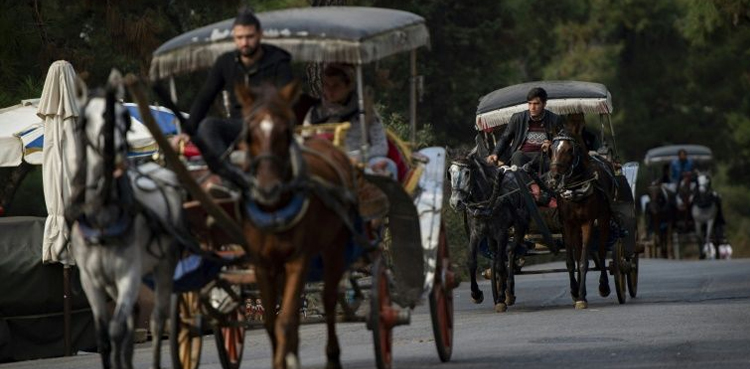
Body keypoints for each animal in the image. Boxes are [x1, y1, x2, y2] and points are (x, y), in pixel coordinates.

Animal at [68, 72, 185, 368]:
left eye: (126, 118)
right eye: (86, 119)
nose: (117, 148)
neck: (101, 217)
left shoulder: (128, 275)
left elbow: (116, 329)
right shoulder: (91, 281)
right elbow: (104, 337)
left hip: (165, 266)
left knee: (159, 319)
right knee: (135, 317)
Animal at [238, 83, 362, 368]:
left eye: (285, 131)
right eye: (248, 134)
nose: (268, 188)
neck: (274, 211)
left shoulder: (298, 259)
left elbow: (284, 322)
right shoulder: (262, 264)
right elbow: (271, 322)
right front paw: (284, 358)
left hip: (335, 246)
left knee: (329, 299)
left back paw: (332, 355)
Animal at [450, 151, 532, 312]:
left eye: (467, 172)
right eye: (450, 172)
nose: (455, 202)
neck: (486, 202)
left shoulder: (501, 233)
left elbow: (500, 264)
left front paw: (500, 299)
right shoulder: (476, 234)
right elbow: (472, 262)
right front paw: (476, 294)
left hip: (520, 226)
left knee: (510, 252)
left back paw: (508, 292)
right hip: (491, 236)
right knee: (498, 253)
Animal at [548, 120, 616, 308]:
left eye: (569, 150)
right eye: (551, 149)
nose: (554, 176)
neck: (575, 189)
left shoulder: (587, 221)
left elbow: (584, 260)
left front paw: (581, 298)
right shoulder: (567, 223)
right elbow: (572, 261)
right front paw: (575, 291)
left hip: (604, 218)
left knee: (601, 251)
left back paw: (603, 286)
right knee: (579, 253)